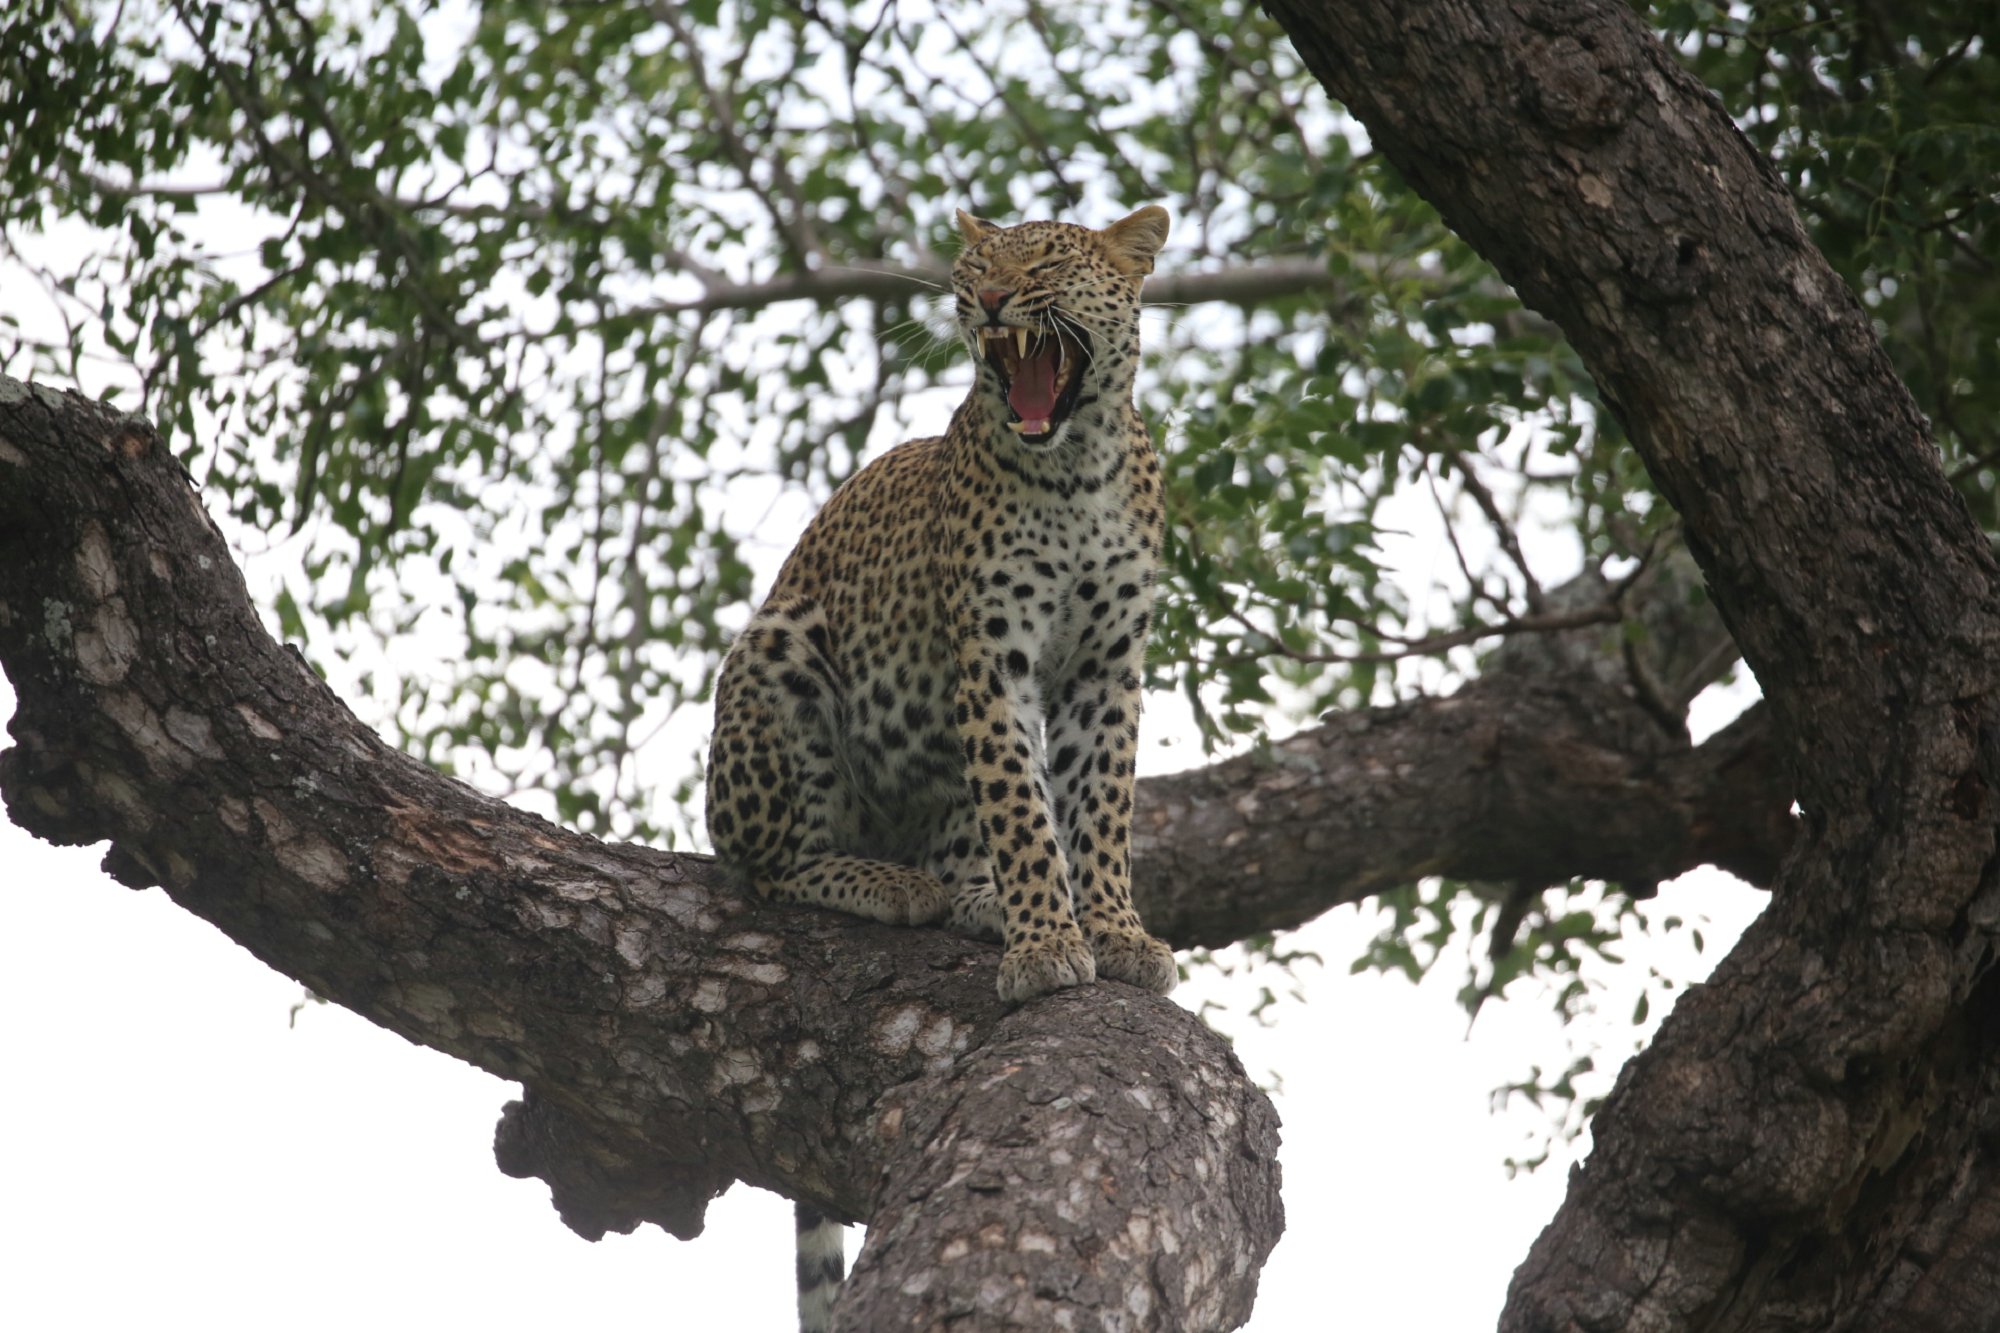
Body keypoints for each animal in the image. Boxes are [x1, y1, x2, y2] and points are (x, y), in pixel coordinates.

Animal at [708, 202, 1176, 1008]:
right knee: (772, 866)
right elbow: (1020, 807)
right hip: (782, 645)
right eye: (975, 268)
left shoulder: (1106, 665)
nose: (989, 298)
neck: (1076, 469)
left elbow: (1100, 804)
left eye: (1047, 265)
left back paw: (978, 898)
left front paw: (1116, 930)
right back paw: (889, 882)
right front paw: (1045, 943)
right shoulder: (993, 656)